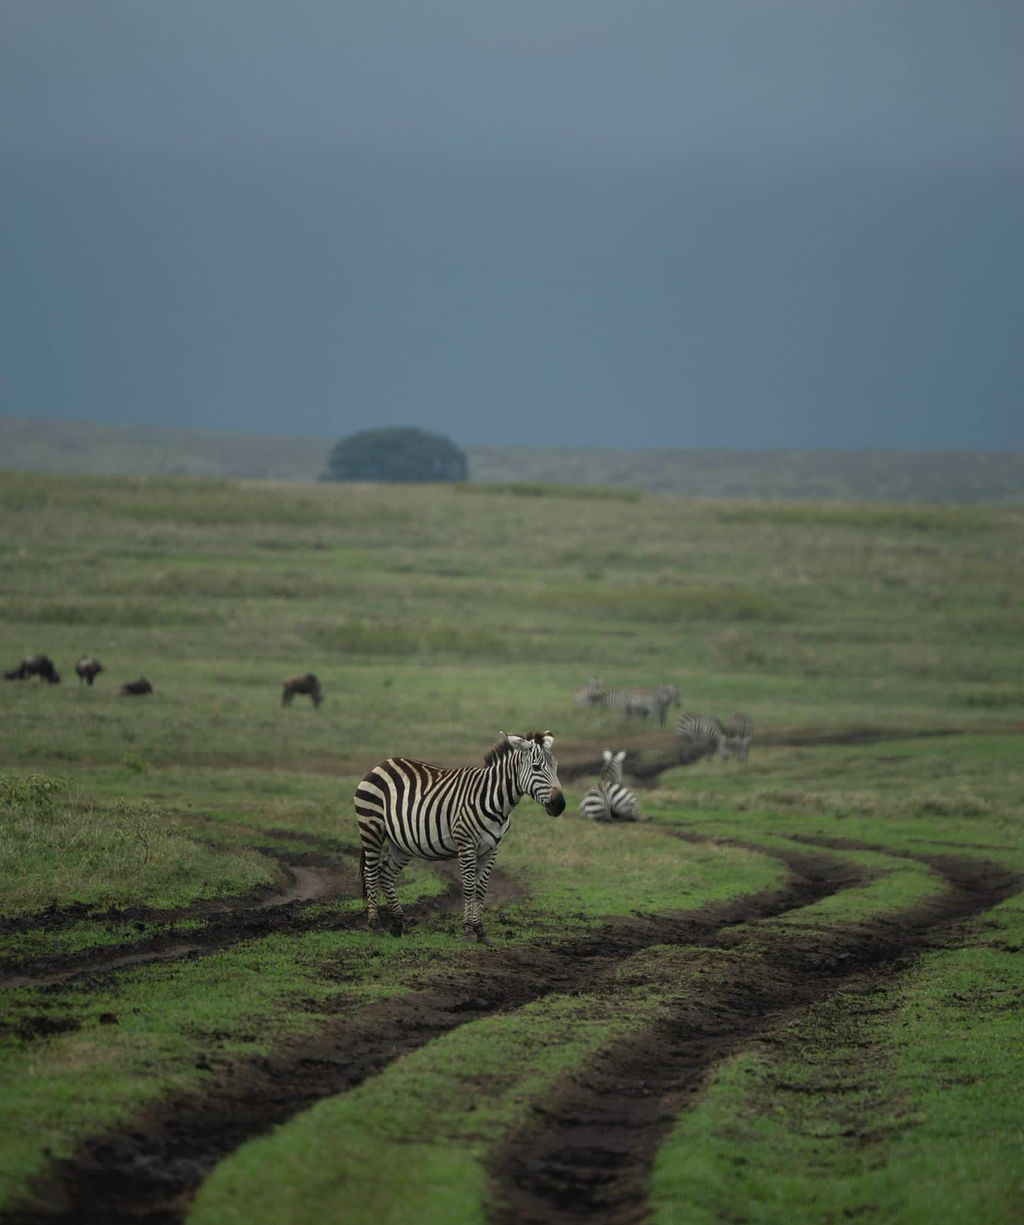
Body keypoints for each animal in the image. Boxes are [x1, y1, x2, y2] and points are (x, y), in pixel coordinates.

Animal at [354, 730, 565, 943]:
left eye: (556, 767)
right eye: (536, 767)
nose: (560, 805)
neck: (494, 801)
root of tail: (383, 763)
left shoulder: (491, 849)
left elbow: (481, 890)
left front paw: (480, 931)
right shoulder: (466, 844)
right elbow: (469, 887)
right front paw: (467, 931)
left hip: (402, 842)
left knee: (386, 874)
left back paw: (397, 924)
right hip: (371, 828)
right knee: (370, 872)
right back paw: (375, 925)